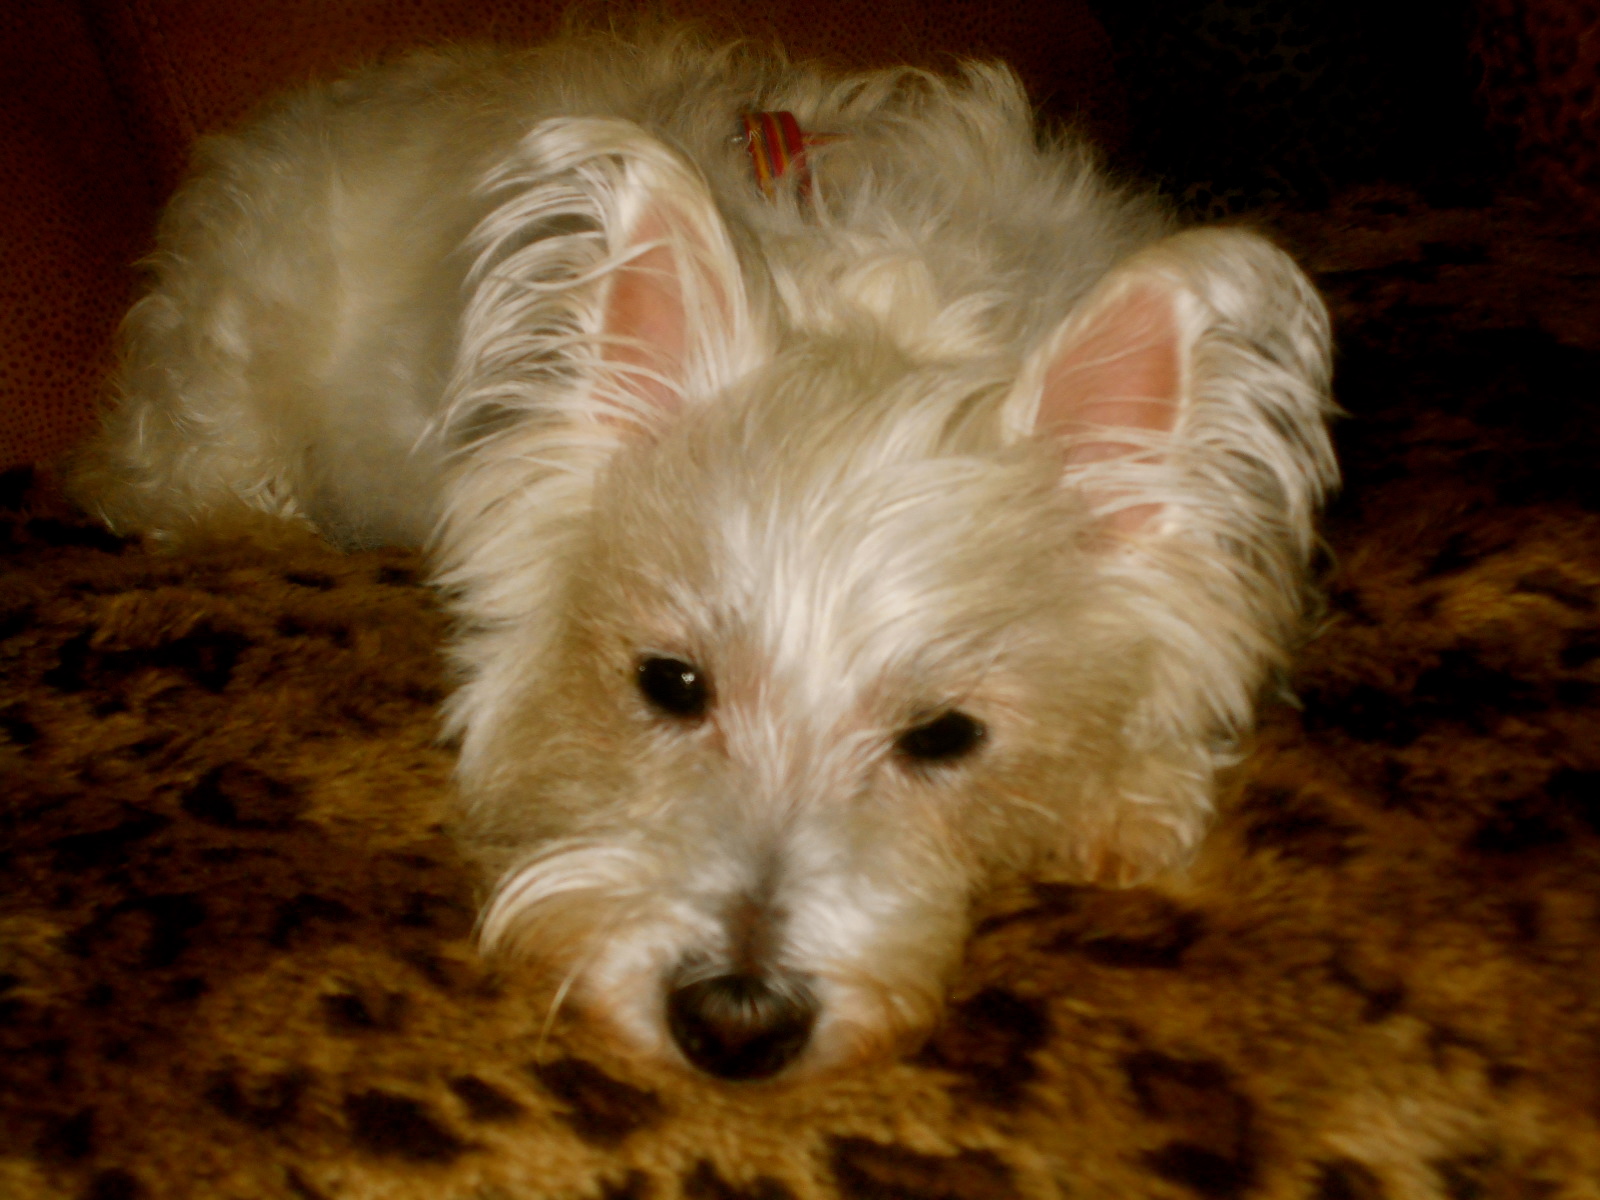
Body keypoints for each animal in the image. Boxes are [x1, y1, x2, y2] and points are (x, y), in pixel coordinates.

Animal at [71, 30, 1338, 1082]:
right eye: (668, 684)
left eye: (946, 737)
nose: (733, 1025)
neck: (883, 319)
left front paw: (1127, 797)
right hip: (224, 386)